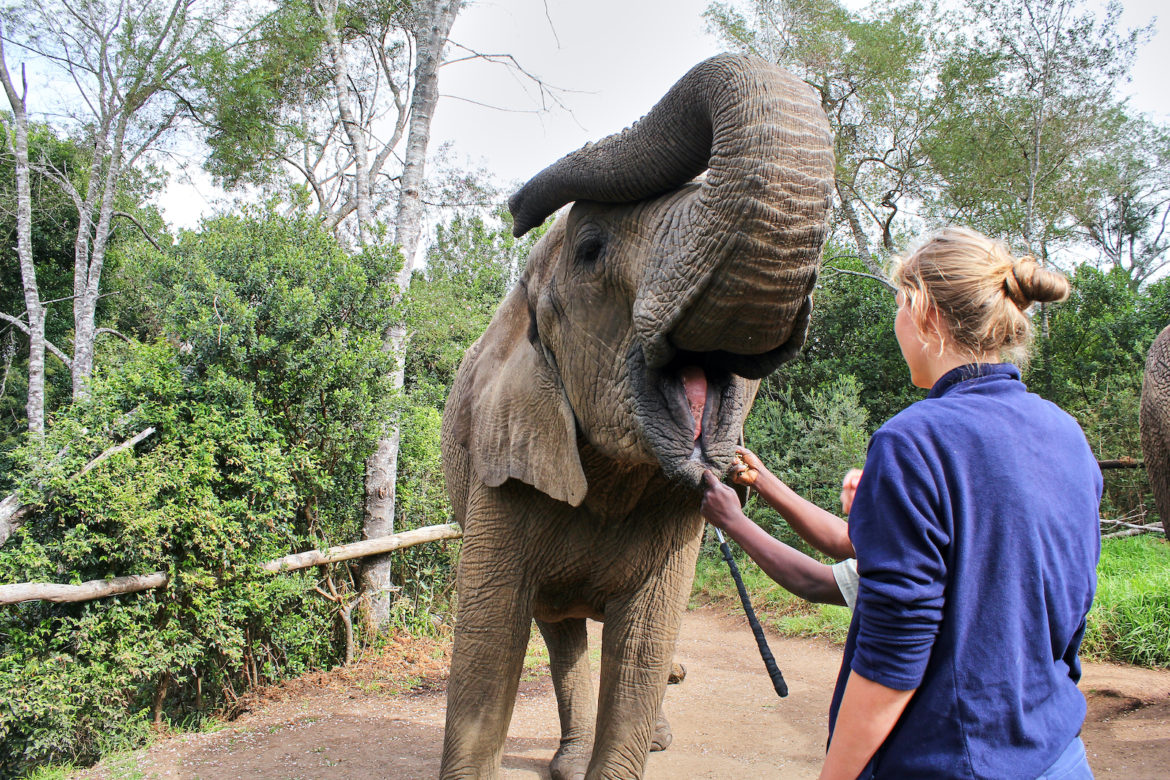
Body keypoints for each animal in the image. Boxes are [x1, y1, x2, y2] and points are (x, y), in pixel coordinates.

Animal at [438, 53, 834, 779]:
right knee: (560, 632)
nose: (514, 210)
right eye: (591, 251)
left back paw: (658, 738)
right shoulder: (501, 464)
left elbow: (645, 644)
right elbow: (487, 647)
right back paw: (569, 760)